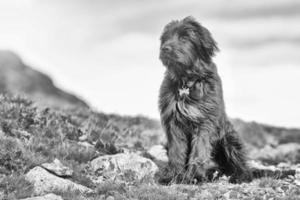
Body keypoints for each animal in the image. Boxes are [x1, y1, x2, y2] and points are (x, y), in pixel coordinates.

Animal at [158, 16, 252, 184]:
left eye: (184, 38)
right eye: (166, 38)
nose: (165, 49)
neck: (187, 82)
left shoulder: (204, 122)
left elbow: (199, 150)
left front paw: (195, 176)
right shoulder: (173, 122)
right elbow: (177, 150)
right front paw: (174, 175)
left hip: (230, 139)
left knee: (241, 166)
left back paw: (238, 176)